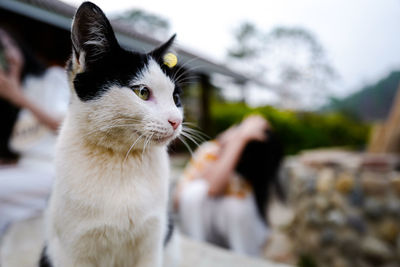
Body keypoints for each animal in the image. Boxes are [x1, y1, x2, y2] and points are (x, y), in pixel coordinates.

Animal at [40, 1, 183, 266]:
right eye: (142, 92)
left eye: (176, 98)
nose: (176, 121)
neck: (121, 159)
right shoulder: (72, 251)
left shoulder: (152, 243)